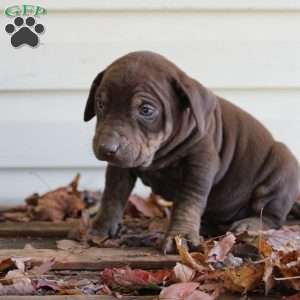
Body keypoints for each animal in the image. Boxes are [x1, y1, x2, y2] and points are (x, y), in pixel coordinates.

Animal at [83, 51, 298, 253]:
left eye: (146, 110)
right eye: (100, 104)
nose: (106, 148)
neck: (160, 151)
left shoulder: (201, 163)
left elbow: (189, 201)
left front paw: (181, 236)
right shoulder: (121, 166)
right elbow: (112, 195)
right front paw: (100, 228)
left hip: (282, 170)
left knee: (272, 216)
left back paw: (251, 223)